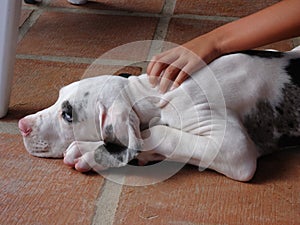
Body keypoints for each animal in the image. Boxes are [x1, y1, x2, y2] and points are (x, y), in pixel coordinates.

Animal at [18, 45, 300, 181]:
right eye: (58, 97)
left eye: (67, 115)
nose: (22, 125)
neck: (154, 92)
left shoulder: (235, 148)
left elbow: (160, 132)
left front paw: (87, 151)